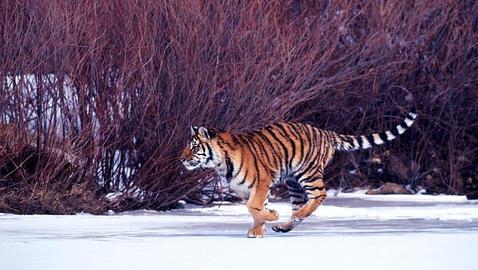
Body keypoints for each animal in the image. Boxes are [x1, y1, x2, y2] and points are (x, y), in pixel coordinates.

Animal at [181, 106, 416, 237]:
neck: (220, 163)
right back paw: (284, 226)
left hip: (308, 173)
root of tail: (325, 132)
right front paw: (259, 229)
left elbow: (253, 207)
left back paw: (291, 217)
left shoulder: (261, 182)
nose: (182, 158)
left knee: (320, 195)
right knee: (300, 205)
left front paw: (270, 216)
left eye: (194, 147)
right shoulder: (247, 189)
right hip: (293, 181)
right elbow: (255, 210)